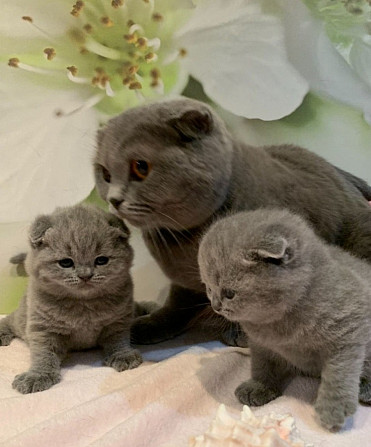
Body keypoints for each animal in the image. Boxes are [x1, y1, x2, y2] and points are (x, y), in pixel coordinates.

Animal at [0, 205, 142, 394]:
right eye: (66, 263)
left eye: (101, 260)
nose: (85, 275)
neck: (83, 304)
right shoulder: (43, 328)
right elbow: (43, 354)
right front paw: (38, 375)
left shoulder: (118, 321)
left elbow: (118, 339)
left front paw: (123, 355)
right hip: (22, 317)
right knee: (9, 320)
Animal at [93, 96, 371, 344]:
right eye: (105, 173)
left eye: (141, 167)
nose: (114, 199)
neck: (184, 243)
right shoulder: (185, 285)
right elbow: (176, 306)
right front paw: (149, 325)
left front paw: (243, 333)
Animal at [199, 208, 371, 432]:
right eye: (208, 288)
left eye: (229, 293)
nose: (215, 306)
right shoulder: (261, 345)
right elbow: (262, 365)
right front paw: (259, 387)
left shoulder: (350, 324)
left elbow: (339, 371)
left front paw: (333, 409)